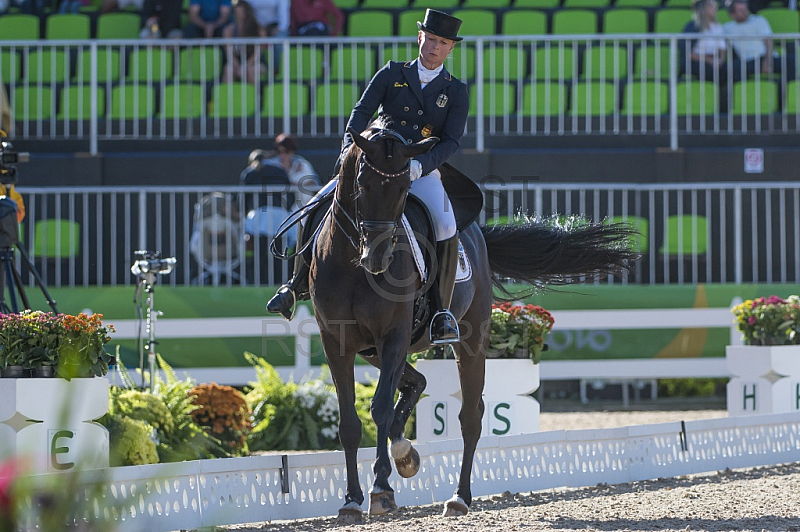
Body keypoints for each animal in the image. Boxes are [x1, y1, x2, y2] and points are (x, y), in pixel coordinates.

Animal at [310, 118, 636, 516]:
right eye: (361, 184)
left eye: (404, 190)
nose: (376, 258)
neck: (353, 267)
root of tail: (477, 234)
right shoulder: (336, 341)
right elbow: (349, 422)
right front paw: (351, 499)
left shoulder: (394, 335)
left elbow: (381, 408)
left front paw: (381, 488)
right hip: (373, 350)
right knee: (417, 383)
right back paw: (407, 456)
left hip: (468, 340)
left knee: (470, 417)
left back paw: (459, 496)